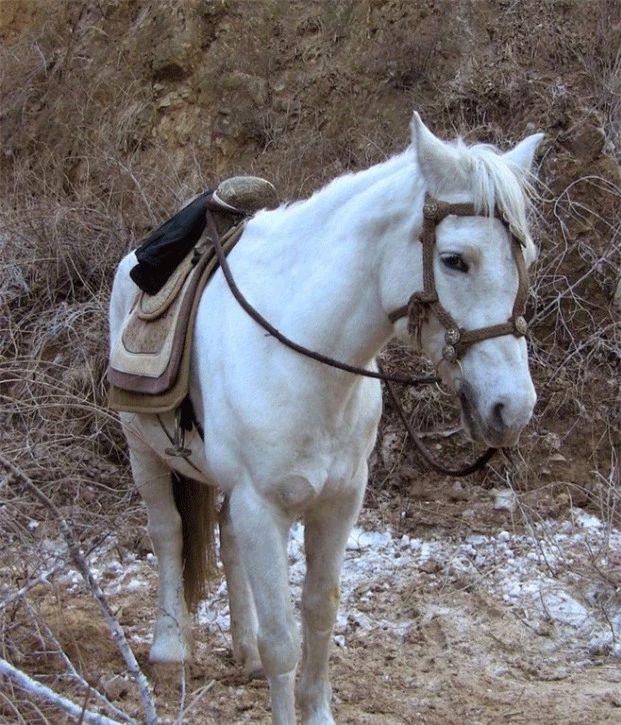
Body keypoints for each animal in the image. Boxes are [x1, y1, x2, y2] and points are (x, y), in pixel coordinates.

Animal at [110, 116, 544, 720]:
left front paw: (314, 708)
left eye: (528, 256)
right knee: (169, 533)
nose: (513, 407)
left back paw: (241, 651)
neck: (299, 352)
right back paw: (170, 647)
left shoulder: (339, 501)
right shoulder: (261, 505)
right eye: (455, 259)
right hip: (142, 448)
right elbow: (282, 641)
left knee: (225, 538)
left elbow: (319, 613)